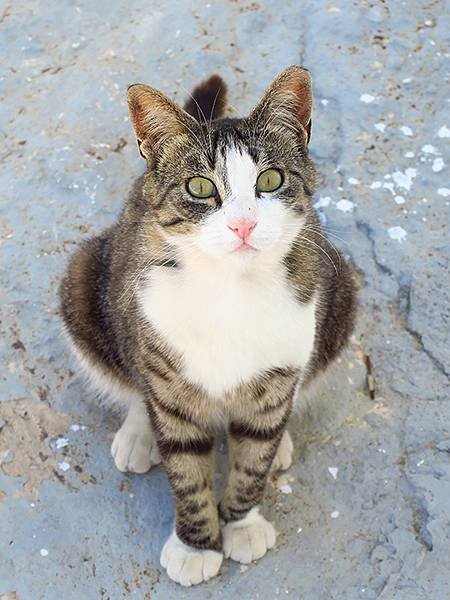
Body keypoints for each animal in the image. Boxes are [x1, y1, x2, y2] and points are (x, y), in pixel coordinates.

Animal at [59, 67, 356, 584]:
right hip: (85, 286)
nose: (243, 225)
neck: (231, 289)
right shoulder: (164, 364)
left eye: (271, 179)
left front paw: (242, 522)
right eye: (200, 188)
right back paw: (139, 432)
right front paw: (195, 546)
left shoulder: (283, 359)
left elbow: (253, 455)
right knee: (134, 383)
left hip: (340, 297)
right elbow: (185, 467)